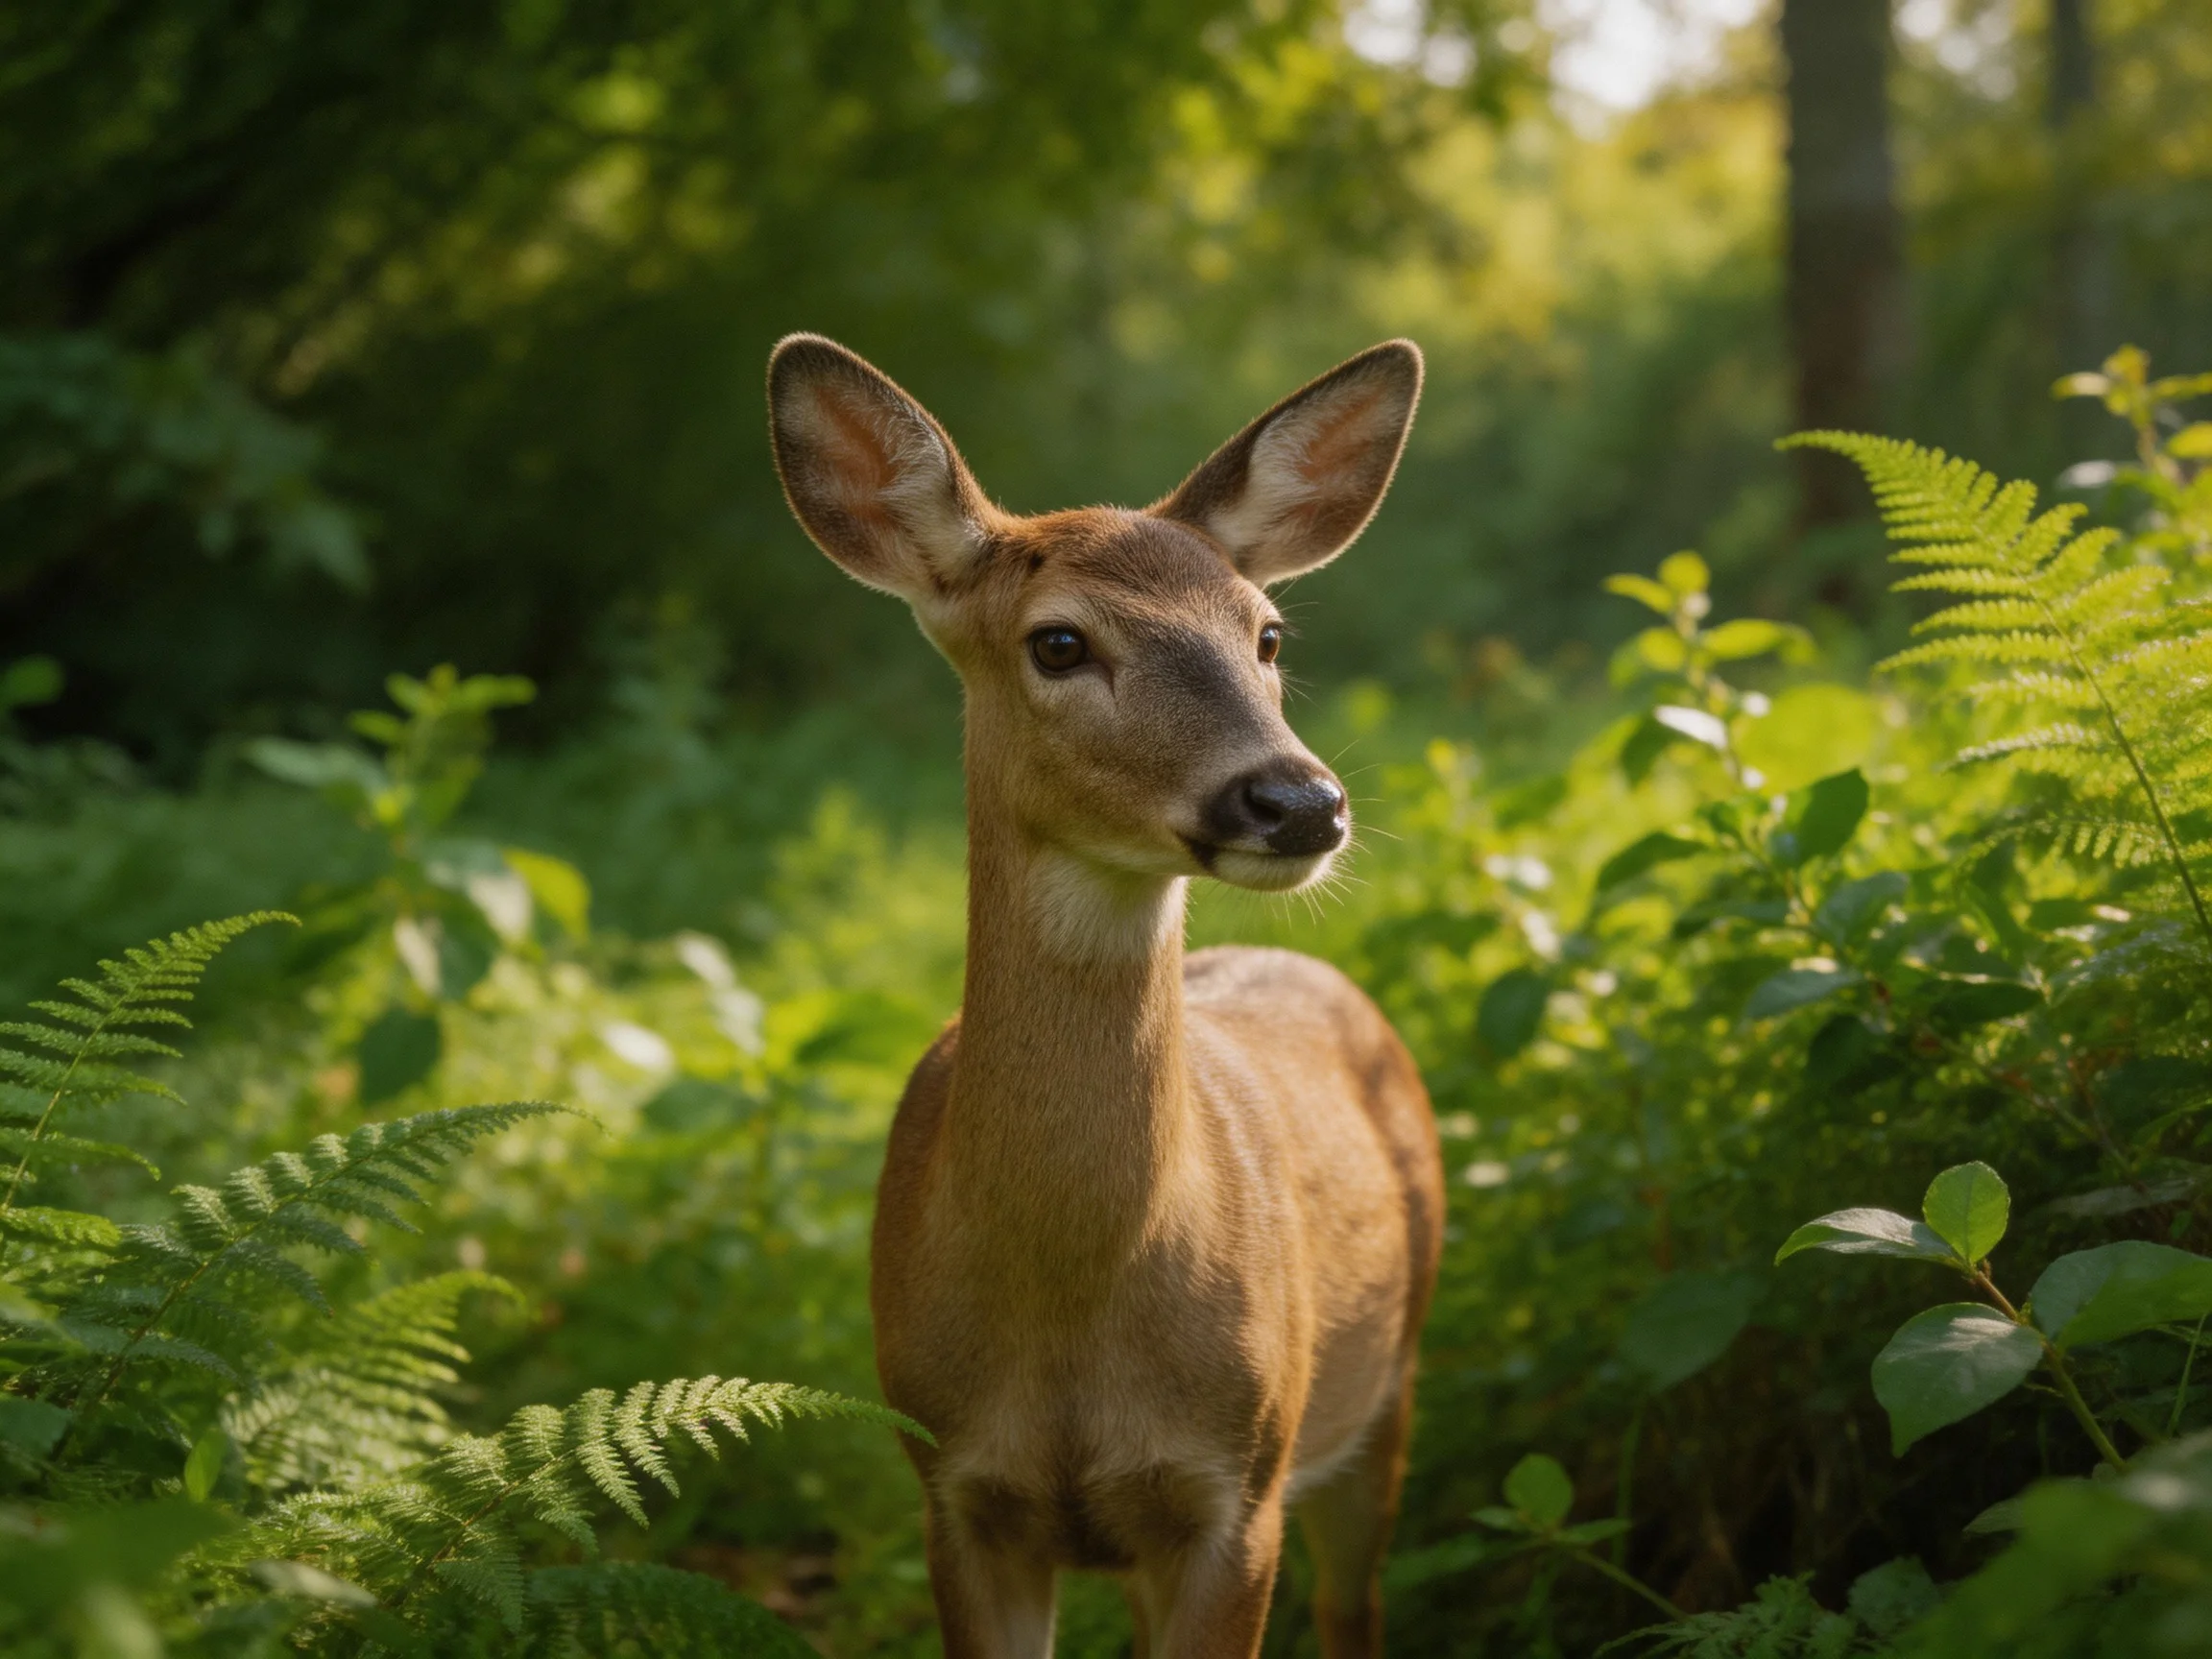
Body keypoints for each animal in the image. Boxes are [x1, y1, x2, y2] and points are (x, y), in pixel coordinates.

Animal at [766, 333, 1444, 1659]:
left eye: (1267, 635)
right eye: (1060, 643)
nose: (1298, 802)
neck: (1073, 1313)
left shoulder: (1237, 1489)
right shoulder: (958, 1493)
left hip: (1385, 1387)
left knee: (1357, 1607)